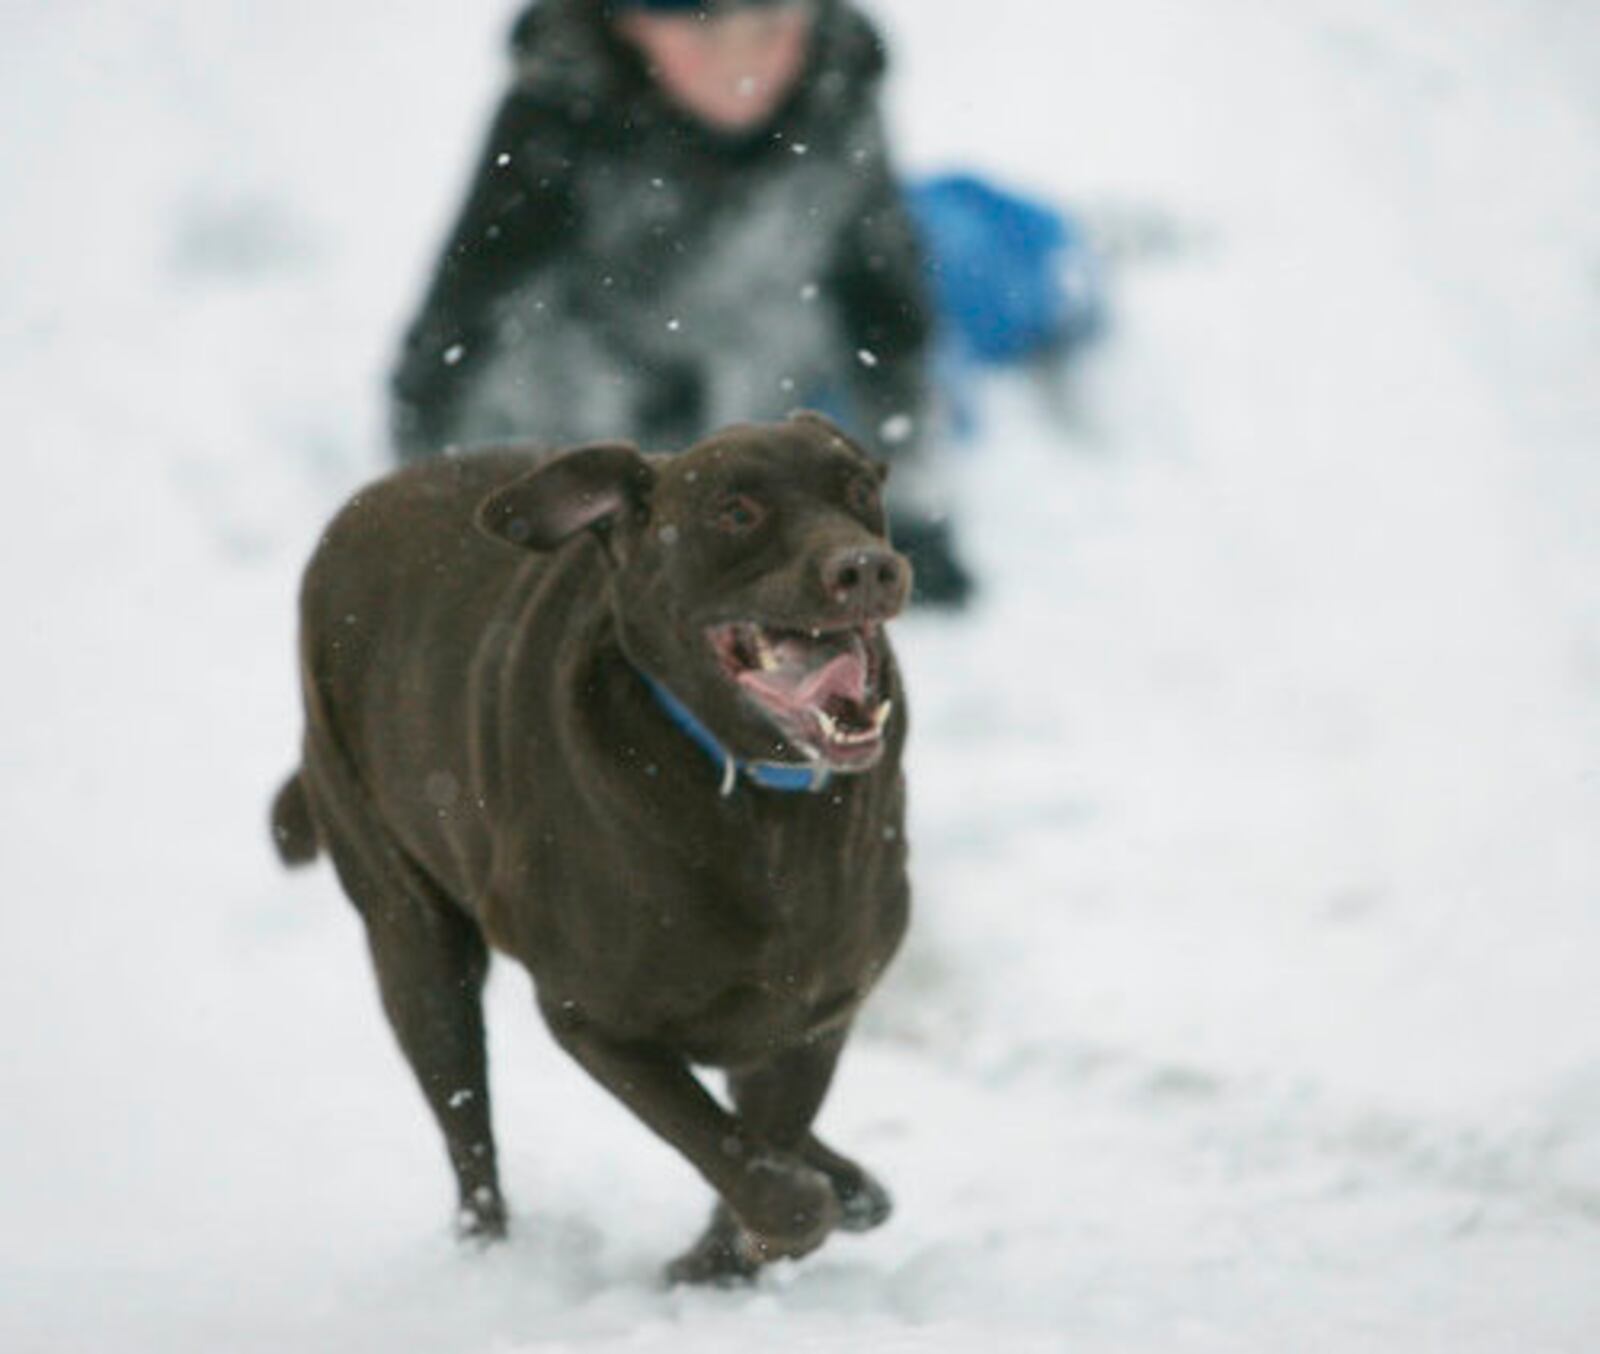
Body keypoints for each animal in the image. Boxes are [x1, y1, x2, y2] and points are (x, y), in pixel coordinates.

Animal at [268, 409, 908, 1280]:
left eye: (860, 489)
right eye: (736, 512)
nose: (866, 567)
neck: (756, 792)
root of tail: (363, 504)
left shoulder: (815, 1012)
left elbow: (764, 1138)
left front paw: (723, 1260)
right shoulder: (591, 1016)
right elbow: (752, 1170)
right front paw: (732, 1251)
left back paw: (852, 1185)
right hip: (412, 936)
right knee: (465, 1124)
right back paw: (487, 1253)